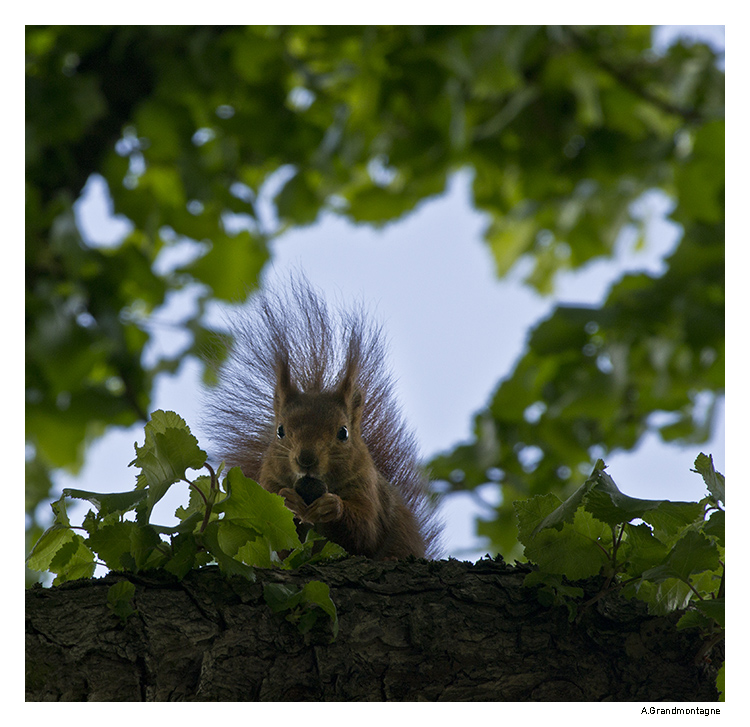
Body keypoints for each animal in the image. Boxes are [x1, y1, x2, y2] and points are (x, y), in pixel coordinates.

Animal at [206, 278, 440, 564]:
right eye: (280, 431)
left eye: (343, 433)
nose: (305, 459)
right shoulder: (268, 485)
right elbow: (282, 541)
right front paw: (289, 502)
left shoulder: (367, 488)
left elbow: (365, 531)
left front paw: (332, 506)